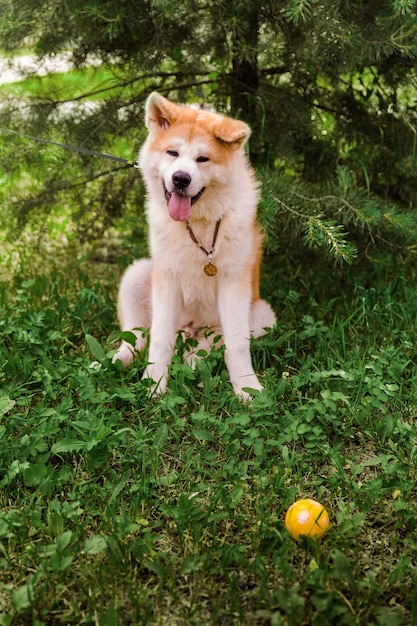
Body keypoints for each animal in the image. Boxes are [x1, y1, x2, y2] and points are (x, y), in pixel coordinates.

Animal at [113, 91, 276, 400]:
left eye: (203, 159)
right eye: (172, 153)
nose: (180, 178)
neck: (197, 226)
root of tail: (190, 330)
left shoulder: (234, 284)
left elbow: (237, 345)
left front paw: (247, 387)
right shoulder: (166, 280)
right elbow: (159, 339)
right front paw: (154, 383)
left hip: (262, 315)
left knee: (211, 345)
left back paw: (195, 360)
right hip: (137, 275)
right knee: (137, 335)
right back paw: (117, 360)